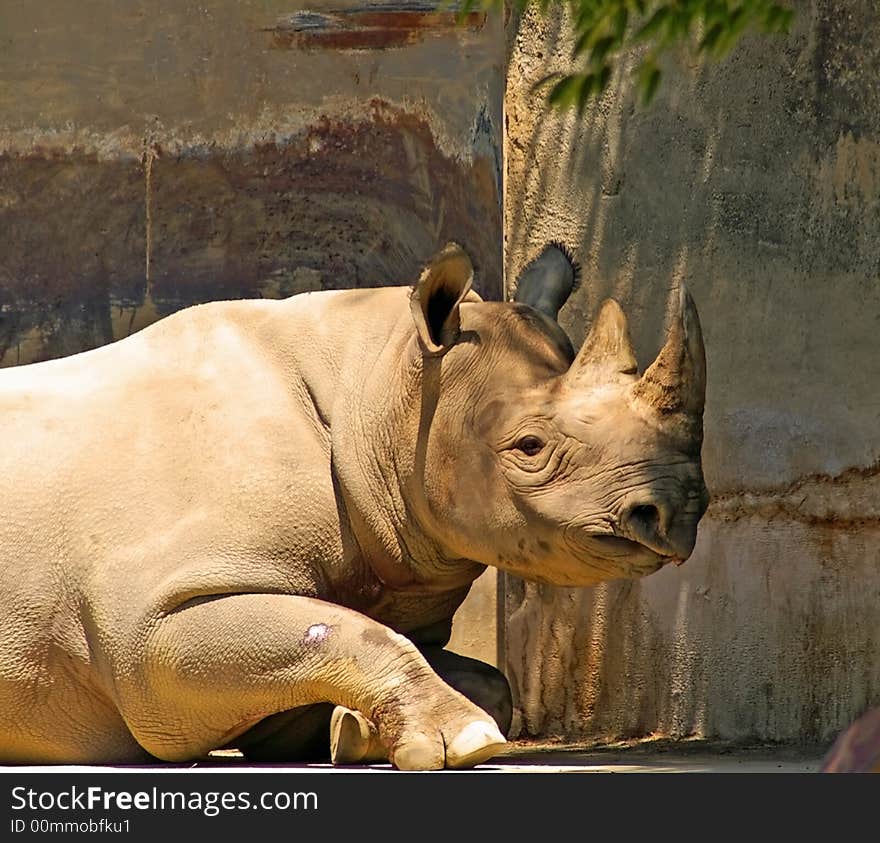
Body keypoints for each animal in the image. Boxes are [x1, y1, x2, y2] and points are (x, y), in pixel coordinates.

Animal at [0, 241, 708, 768]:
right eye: (529, 446)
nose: (678, 511)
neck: (381, 385)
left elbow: (466, 672)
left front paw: (353, 731)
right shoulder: (149, 630)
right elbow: (344, 632)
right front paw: (462, 739)